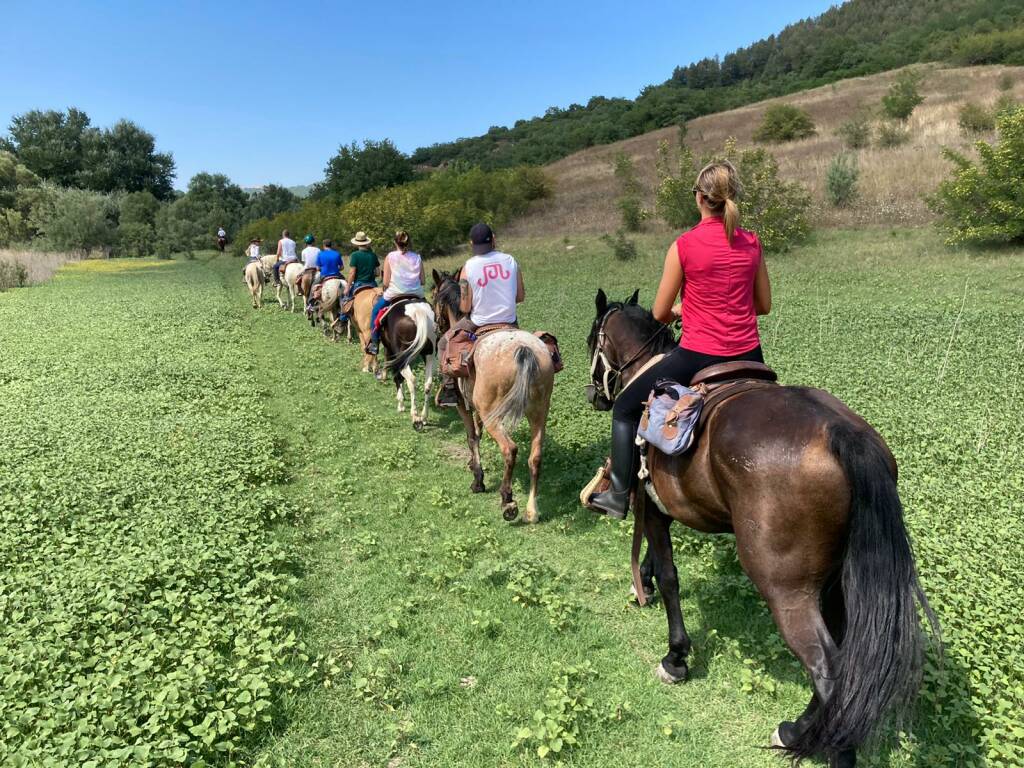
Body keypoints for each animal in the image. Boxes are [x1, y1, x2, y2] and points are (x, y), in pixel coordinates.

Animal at [380, 301, 436, 434]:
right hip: (429, 355)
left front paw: (400, 404)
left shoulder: (392, 353)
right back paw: (424, 417)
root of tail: (417, 311)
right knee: (428, 384)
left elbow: (397, 378)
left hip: (402, 357)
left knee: (411, 379)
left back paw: (415, 417)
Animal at [436, 268, 557, 528]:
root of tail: (523, 349)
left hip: (495, 415)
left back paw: (508, 502)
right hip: (539, 412)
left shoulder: (463, 406)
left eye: (436, 297)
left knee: (510, 449)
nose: (439, 326)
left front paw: (477, 480)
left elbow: (472, 436)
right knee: (535, 457)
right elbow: (477, 434)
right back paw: (531, 511)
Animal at [589, 290, 937, 768]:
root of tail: (841, 433)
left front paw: (676, 657)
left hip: (785, 586)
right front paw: (640, 584)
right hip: (838, 578)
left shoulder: (654, 507)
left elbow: (669, 577)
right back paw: (793, 732)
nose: (593, 395)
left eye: (592, 338)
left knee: (828, 672)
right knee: (843, 665)